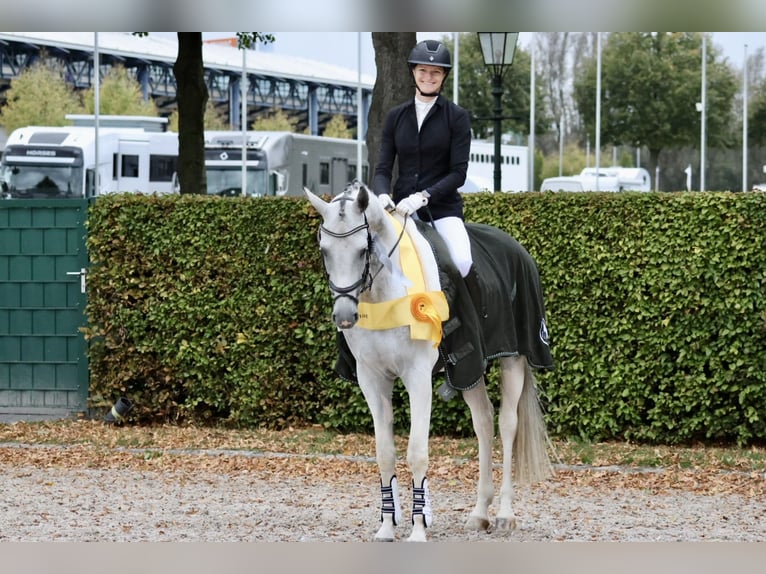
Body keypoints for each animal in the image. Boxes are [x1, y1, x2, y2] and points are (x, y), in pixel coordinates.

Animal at [306, 182, 552, 544]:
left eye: (363, 250)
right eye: (324, 251)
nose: (345, 316)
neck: (385, 294)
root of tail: (515, 246)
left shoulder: (418, 376)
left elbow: (417, 452)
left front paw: (419, 528)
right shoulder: (372, 379)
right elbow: (384, 452)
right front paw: (386, 526)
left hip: (514, 358)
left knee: (508, 424)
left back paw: (505, 515)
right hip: (469, 371)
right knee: (483, 421)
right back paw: (480, 513)